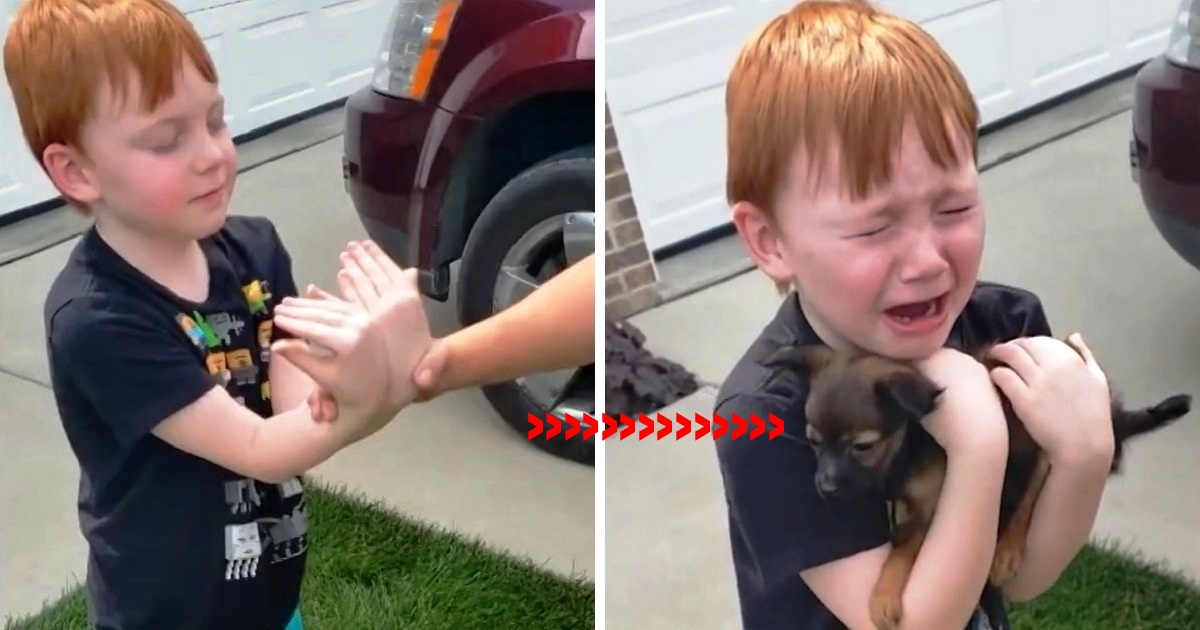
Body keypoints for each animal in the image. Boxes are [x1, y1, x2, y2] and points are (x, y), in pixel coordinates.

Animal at [768, 338, 1190, 628]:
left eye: (862, 446)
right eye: (813, 441)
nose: (825, 489)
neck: (910, 444)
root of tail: (1111, 410)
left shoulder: (933, 506)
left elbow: (902, 547)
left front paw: (883, 597)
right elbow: (898, 525)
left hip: (1047, 450)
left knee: (1027, 503)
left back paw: (1006, 554)